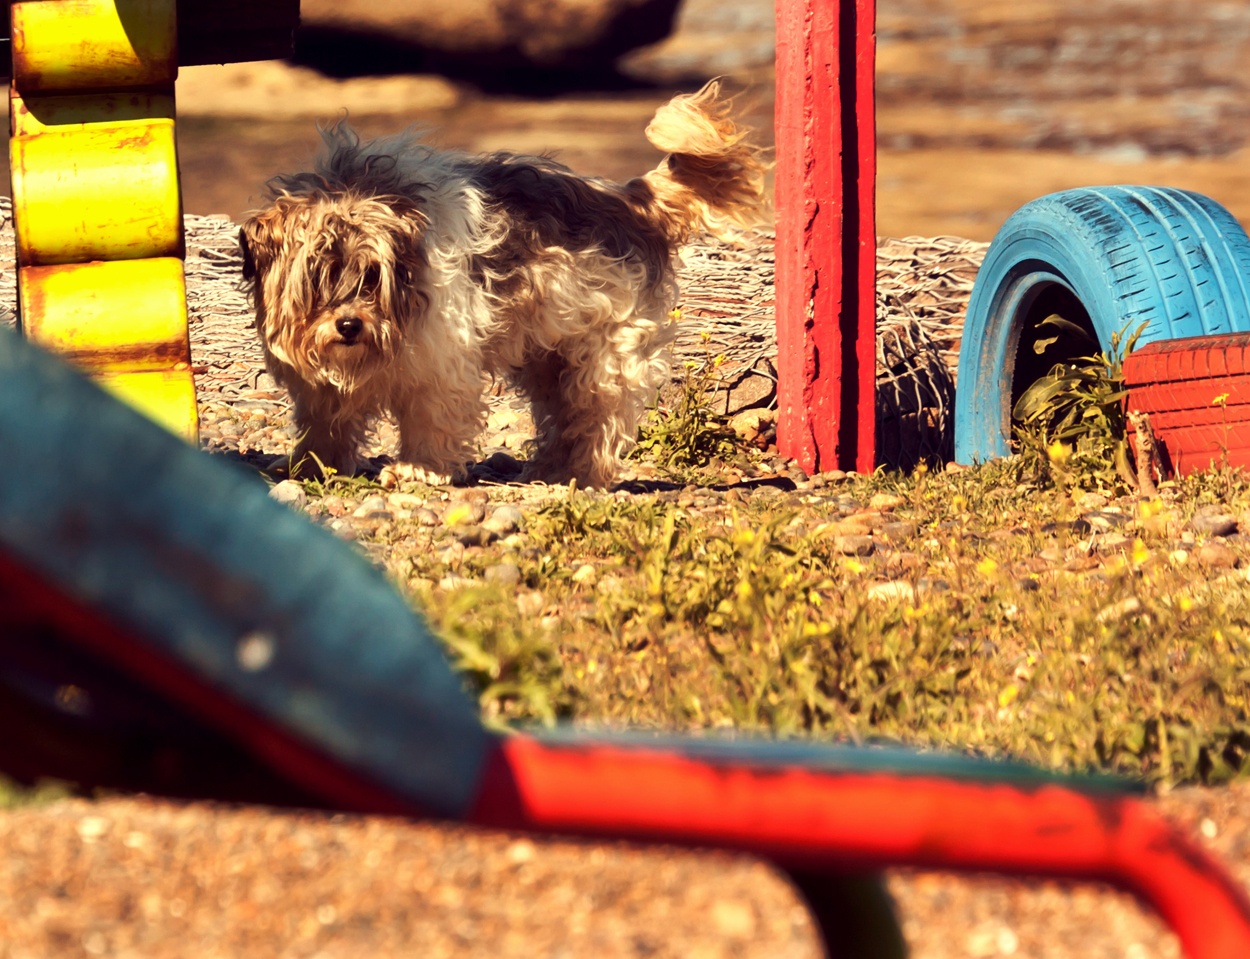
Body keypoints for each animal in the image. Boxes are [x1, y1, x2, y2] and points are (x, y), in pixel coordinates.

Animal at [238, 79, 765, 487]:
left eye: (372, 277)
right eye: (318, 277)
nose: (349, 326)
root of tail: (632, 201)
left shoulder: (442, 362)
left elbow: (430, 418)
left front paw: (418, 470)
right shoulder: (320, 387)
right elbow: (324, 423)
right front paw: (312, 466)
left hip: (605, 355)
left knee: (599, 417)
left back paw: (583, 474)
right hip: (552, 354)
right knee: (563, 415)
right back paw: (551, 469)